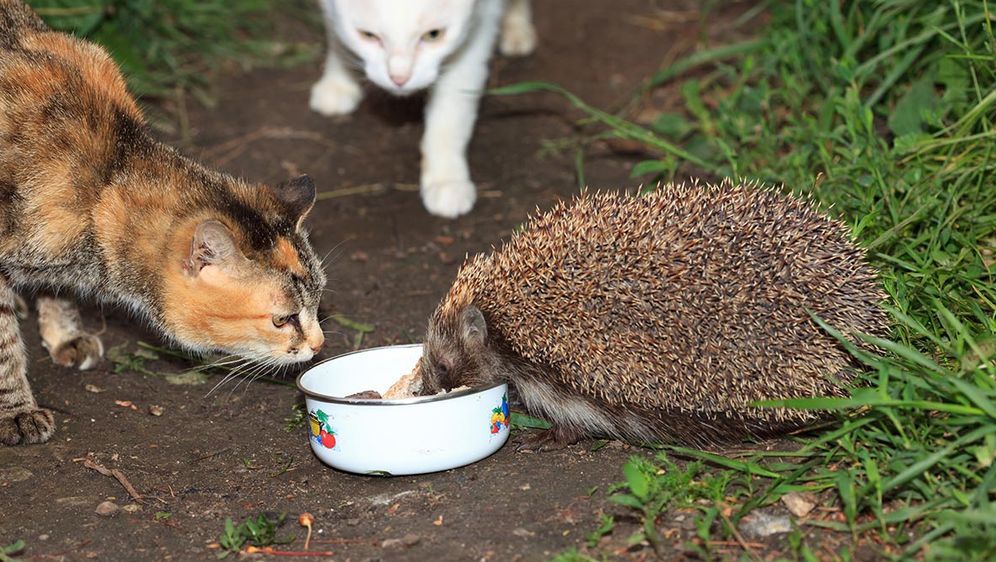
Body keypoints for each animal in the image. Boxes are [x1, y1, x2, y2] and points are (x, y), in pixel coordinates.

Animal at [0, 1, 326, 446]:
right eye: (283, 319)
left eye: (318, 301)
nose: (319, 345)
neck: (107, 175)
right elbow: (4, 347)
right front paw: (16, 409)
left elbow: (56, 288)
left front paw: (64, 332)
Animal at [312, 0, 536, 217]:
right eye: (368, 35)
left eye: (433, 35)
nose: (399, 78)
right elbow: (334, 31)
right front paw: (338, 80)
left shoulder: (480, 27)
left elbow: (451, 113)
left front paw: (446, 178)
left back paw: (517, 28)